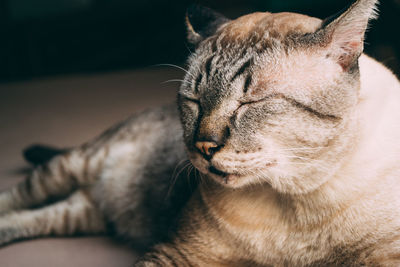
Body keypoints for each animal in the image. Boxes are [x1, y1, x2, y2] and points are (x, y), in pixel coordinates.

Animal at [0, 0, 400, 266]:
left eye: (250, 103)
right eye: (193, 101)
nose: (204, 146)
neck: (296, 198)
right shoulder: (177, 255)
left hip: (81, 213)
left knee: (41, 216)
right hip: (72, 167)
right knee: (17, 199)